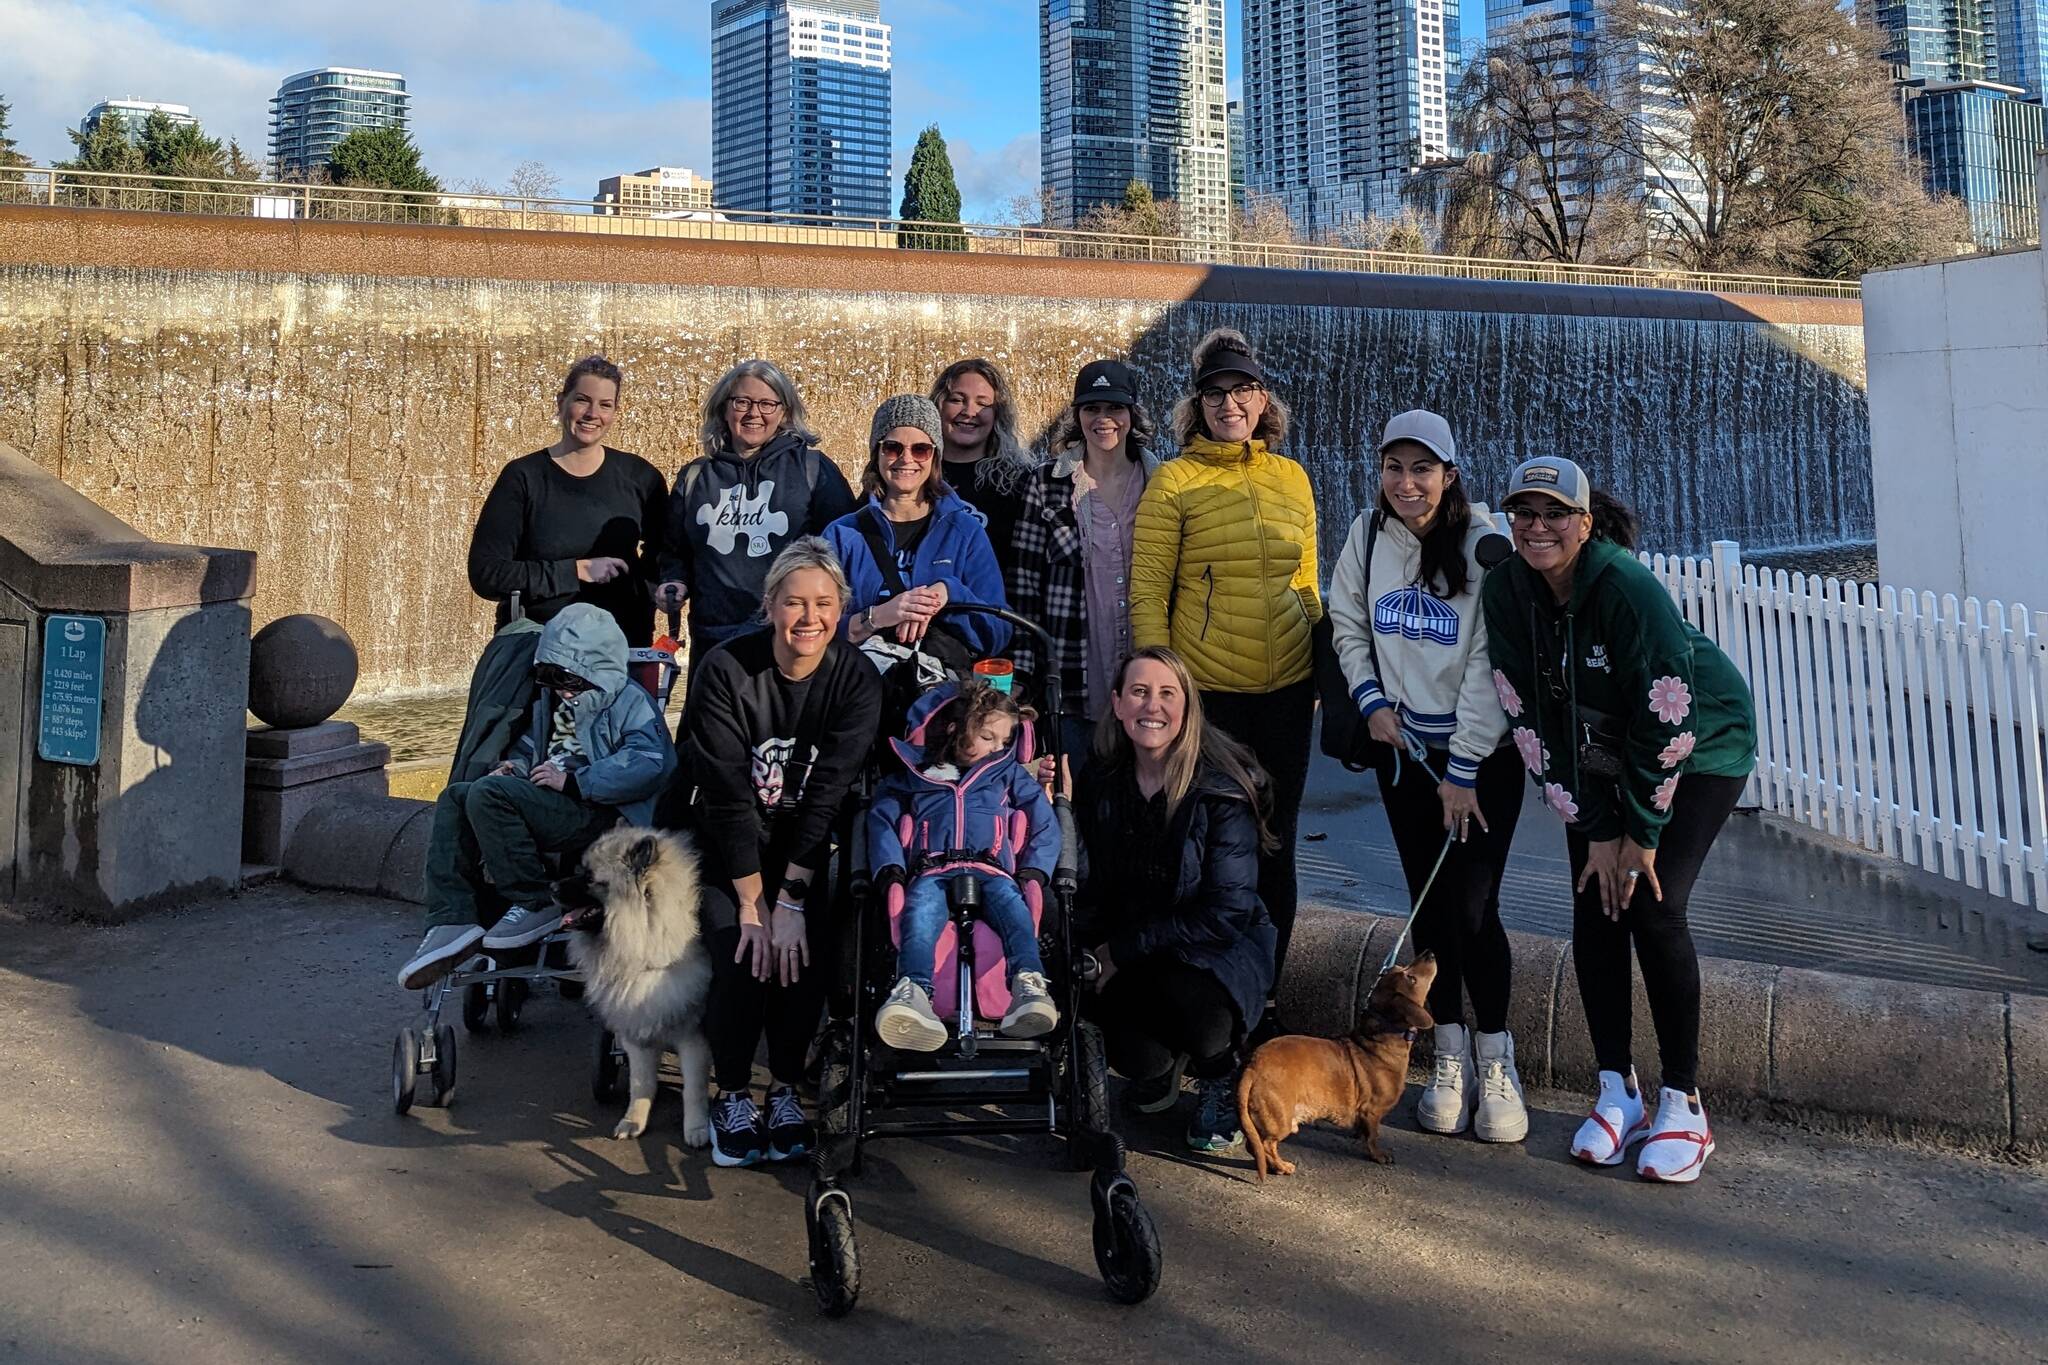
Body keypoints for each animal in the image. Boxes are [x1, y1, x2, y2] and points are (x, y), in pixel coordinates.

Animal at [565, 826, 716, 1146]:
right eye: (580, 871)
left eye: (589, 878)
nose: (549, 887)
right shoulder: (636, 1034)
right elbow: (641, 1084)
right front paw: (633, 1120)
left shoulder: (693, 1037)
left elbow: (693, 1089)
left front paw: (696, 1128)